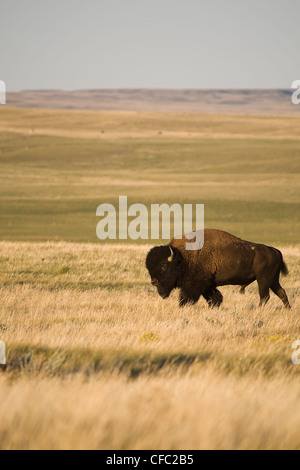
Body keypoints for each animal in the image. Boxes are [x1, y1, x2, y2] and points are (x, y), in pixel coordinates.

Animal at [145, 229, 290, 308]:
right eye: (149, 268)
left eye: (164, 266)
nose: (153, 281)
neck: (182, 257)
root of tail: (275, 251)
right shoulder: (208, 285)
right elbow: (215, 298)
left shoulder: (195, 285)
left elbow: (186, 298)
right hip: (273, 280)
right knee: (281, 292)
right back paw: (288, 309)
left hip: (263, 279)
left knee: (264, 296)